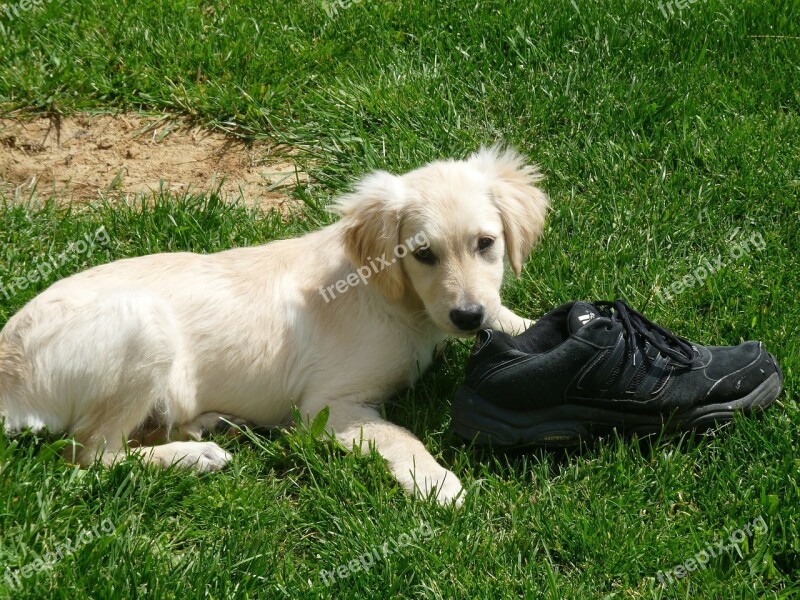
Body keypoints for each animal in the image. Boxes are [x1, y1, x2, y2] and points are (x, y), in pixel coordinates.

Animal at [0, 144, 552, 502]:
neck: (394, 297)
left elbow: (509, 315)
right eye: (422, 255)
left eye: (486, 243)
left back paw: (206, 426)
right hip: (144, 324)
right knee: (89, 454)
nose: (466, 316)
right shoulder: (328, 406)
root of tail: (9, 376)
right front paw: (436, 480)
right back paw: (192, 457)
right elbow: (400, 435)